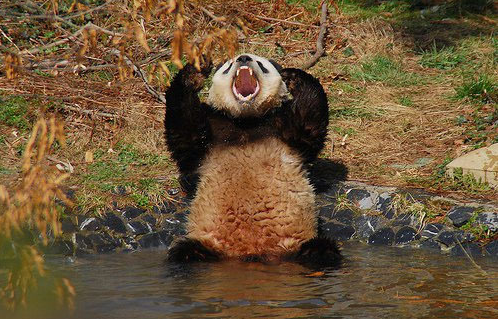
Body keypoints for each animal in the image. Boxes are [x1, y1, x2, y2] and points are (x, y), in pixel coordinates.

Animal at [165, 53, 340, 268]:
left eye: (261, 64)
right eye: (228, 65)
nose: (243, 58)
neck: (246, 120)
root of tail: (252, 252)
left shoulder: (284, 125)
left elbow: (309, 122)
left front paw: (294, 77)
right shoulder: (210, 127)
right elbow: (185, 130)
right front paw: (197, 71)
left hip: (296, 243)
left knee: (323, 248)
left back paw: (317, 253)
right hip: (211, 243)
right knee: (185, 251)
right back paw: (190, 255)